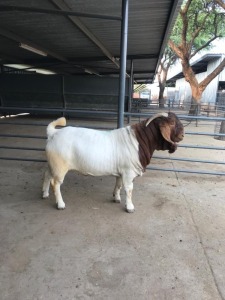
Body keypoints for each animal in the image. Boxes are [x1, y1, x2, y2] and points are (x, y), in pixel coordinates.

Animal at [42, 111, 185, 212]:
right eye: (172, 123)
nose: (183, 135)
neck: (139, 141)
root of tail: (53, 133)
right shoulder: (128, 172)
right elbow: (129, 189)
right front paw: (130, 207)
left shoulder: (121, 172)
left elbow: (119, 185)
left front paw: (116, 198)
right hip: (60, 167)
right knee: (55, 183)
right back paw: (60, 204)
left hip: (52, 164)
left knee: (47, 175)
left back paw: (45, 193)